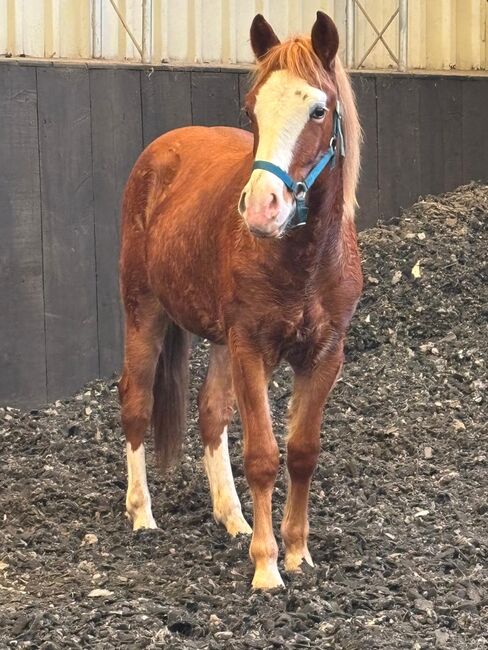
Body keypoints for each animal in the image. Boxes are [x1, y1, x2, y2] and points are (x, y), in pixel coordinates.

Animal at [118, 11, 362, 588]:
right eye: (251, 110)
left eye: (319, 109)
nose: (260, 209)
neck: (305, 261)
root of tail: (158, 154)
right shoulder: (251, 348)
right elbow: (262, 456)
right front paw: (267, 568)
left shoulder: (325, 354)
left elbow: (301, 452)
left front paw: (296, 552)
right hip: (144, 312)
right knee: (135, 403)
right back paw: (142, 513)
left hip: (220, 342)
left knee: (211, 415)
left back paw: (232, 517)